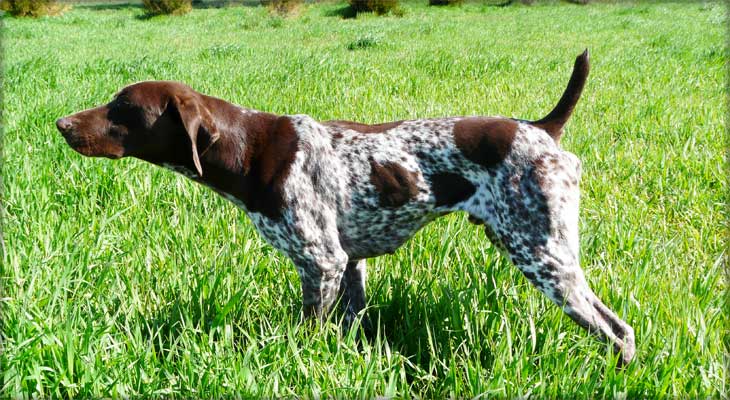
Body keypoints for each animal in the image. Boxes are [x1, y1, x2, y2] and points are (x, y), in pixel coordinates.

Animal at [58, 50, 632, 366]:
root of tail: (541, 129)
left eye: (123, 109)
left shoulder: (322, 262)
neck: (248, 149)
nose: (61, 124)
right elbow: (351, 323)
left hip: (543, 257)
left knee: (617, 331)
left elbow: (307, 331)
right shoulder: (349, 264)